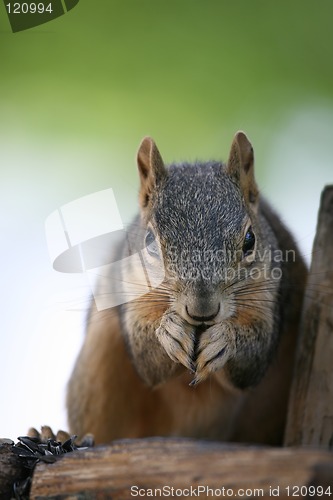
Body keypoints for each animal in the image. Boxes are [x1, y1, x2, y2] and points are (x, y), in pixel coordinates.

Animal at [67, 132, 306, 446]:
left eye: (250, 239)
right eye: (149, 240)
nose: (202, 310)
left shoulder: (269, 297)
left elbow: (253, 360)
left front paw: (224, 339)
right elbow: (147, 363)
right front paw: (169, 331)